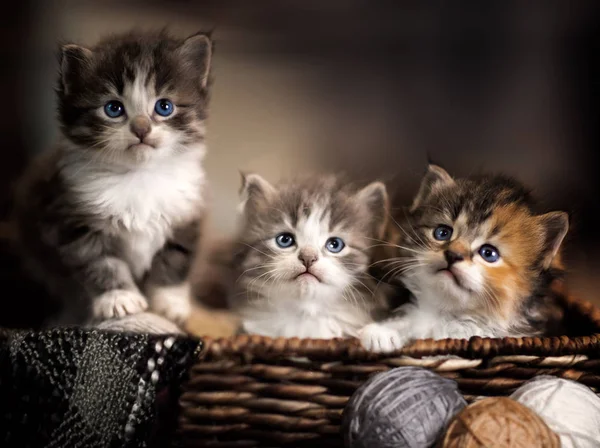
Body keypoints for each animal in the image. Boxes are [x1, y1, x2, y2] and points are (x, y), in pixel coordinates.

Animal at [12, 30, 214, 326]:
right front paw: (119, 299)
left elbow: (175, 260)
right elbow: (100, 263)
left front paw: (169, 303)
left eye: (164, 107)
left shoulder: (186, 216)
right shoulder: (70, 217)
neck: (139, 177)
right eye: (113, 108)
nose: (141, 128)